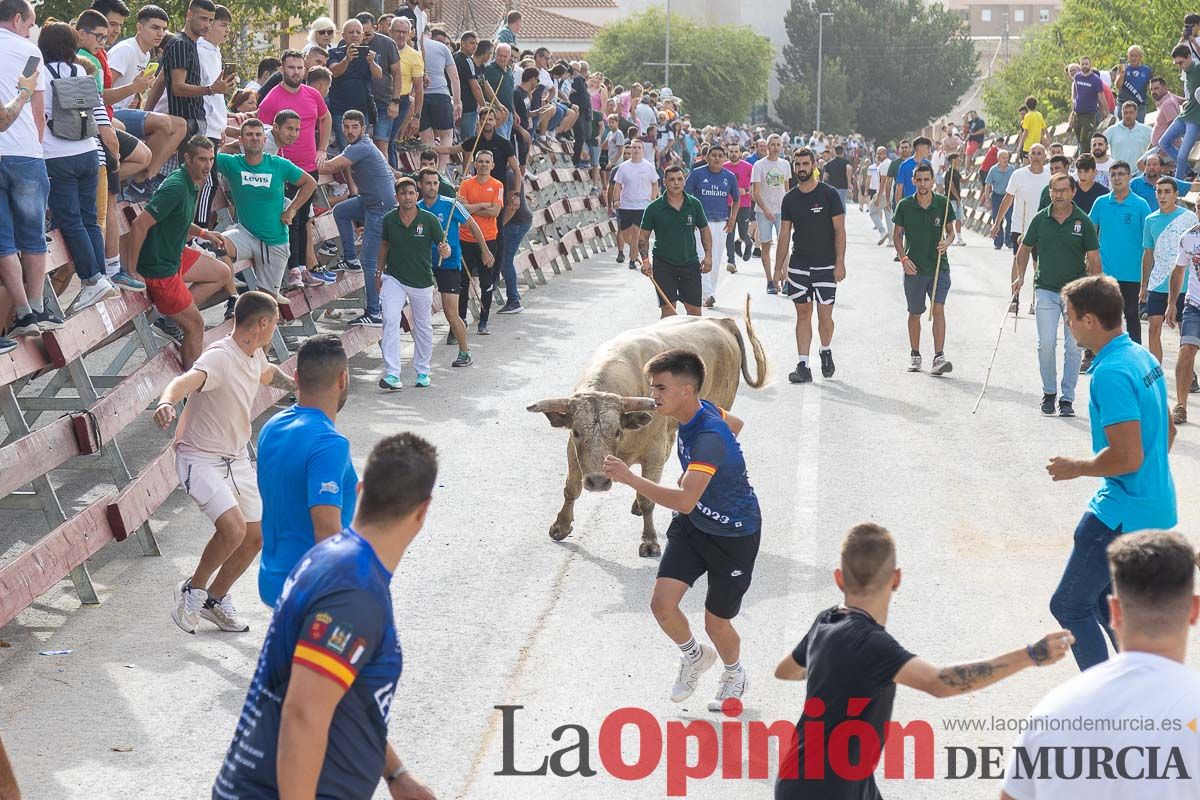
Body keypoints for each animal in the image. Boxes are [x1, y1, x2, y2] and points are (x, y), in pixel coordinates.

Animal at [528, 298, 768, 556]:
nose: (599, 482)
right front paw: (561, 526)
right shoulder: (573, 450)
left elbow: (648, 499)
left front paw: (650, 540)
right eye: (576, 432)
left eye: (617, 432)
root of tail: (720, 322)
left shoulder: (653, 451)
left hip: (721, 403)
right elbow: (571, 487)